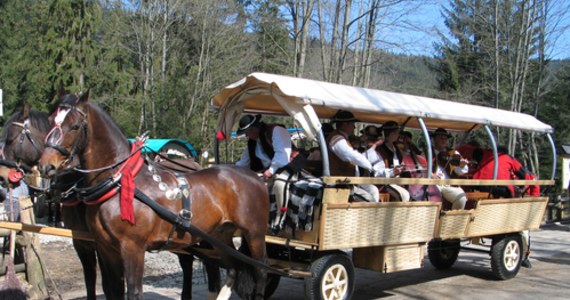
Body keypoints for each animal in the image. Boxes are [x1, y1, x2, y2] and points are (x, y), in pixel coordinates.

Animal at [37, 91, 268, 300]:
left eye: (75, 126)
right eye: (50, 121)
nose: (46, 165)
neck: (119, 181)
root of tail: (254, 176)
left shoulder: (132, 248)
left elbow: (134, 293)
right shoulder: (105, 248)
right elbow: (113, 291)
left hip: (254, 235)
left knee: (260, 273)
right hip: (219, 236)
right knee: (234, 269)